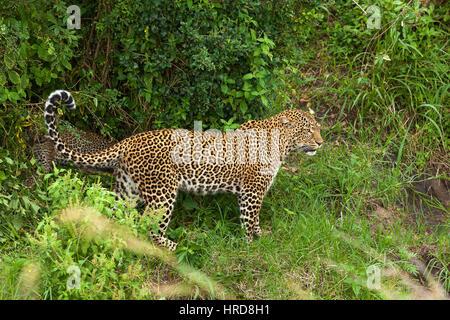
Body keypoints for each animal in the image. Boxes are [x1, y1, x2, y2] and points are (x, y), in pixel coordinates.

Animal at [43, 89, 324, 250]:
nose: (321, 143)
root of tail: (130, 140)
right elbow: (249, 218)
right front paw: (250, 246)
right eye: (309, 130)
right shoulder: (252, 191)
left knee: (118, 215)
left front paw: (260, 235)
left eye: (317, 128)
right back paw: (174, 247)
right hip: (162, 193)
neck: (280, 143)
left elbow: (255, 220)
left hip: (126, 189)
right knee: (148, 225)